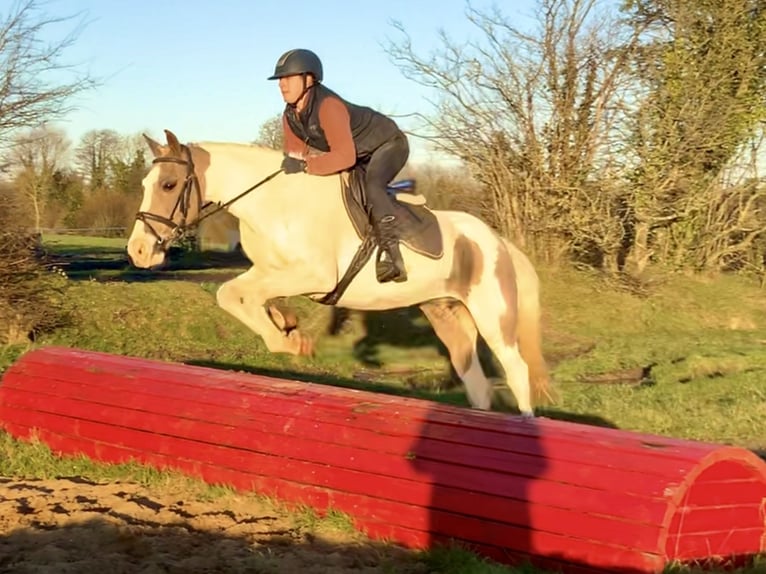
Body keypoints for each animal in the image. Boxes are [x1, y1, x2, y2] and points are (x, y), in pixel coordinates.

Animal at [129, 129, 556, 418]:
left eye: (169, 184)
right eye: (146, 183)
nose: (138, 251)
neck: (272, 203)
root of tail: (498, 240)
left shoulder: (316, 276)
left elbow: (233, 294)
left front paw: (290, 342)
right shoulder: (270, 271)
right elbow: (241, 294)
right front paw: (287, 326)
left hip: (492, 315)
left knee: (516, 370)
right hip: (447, 313)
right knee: (476, 381)